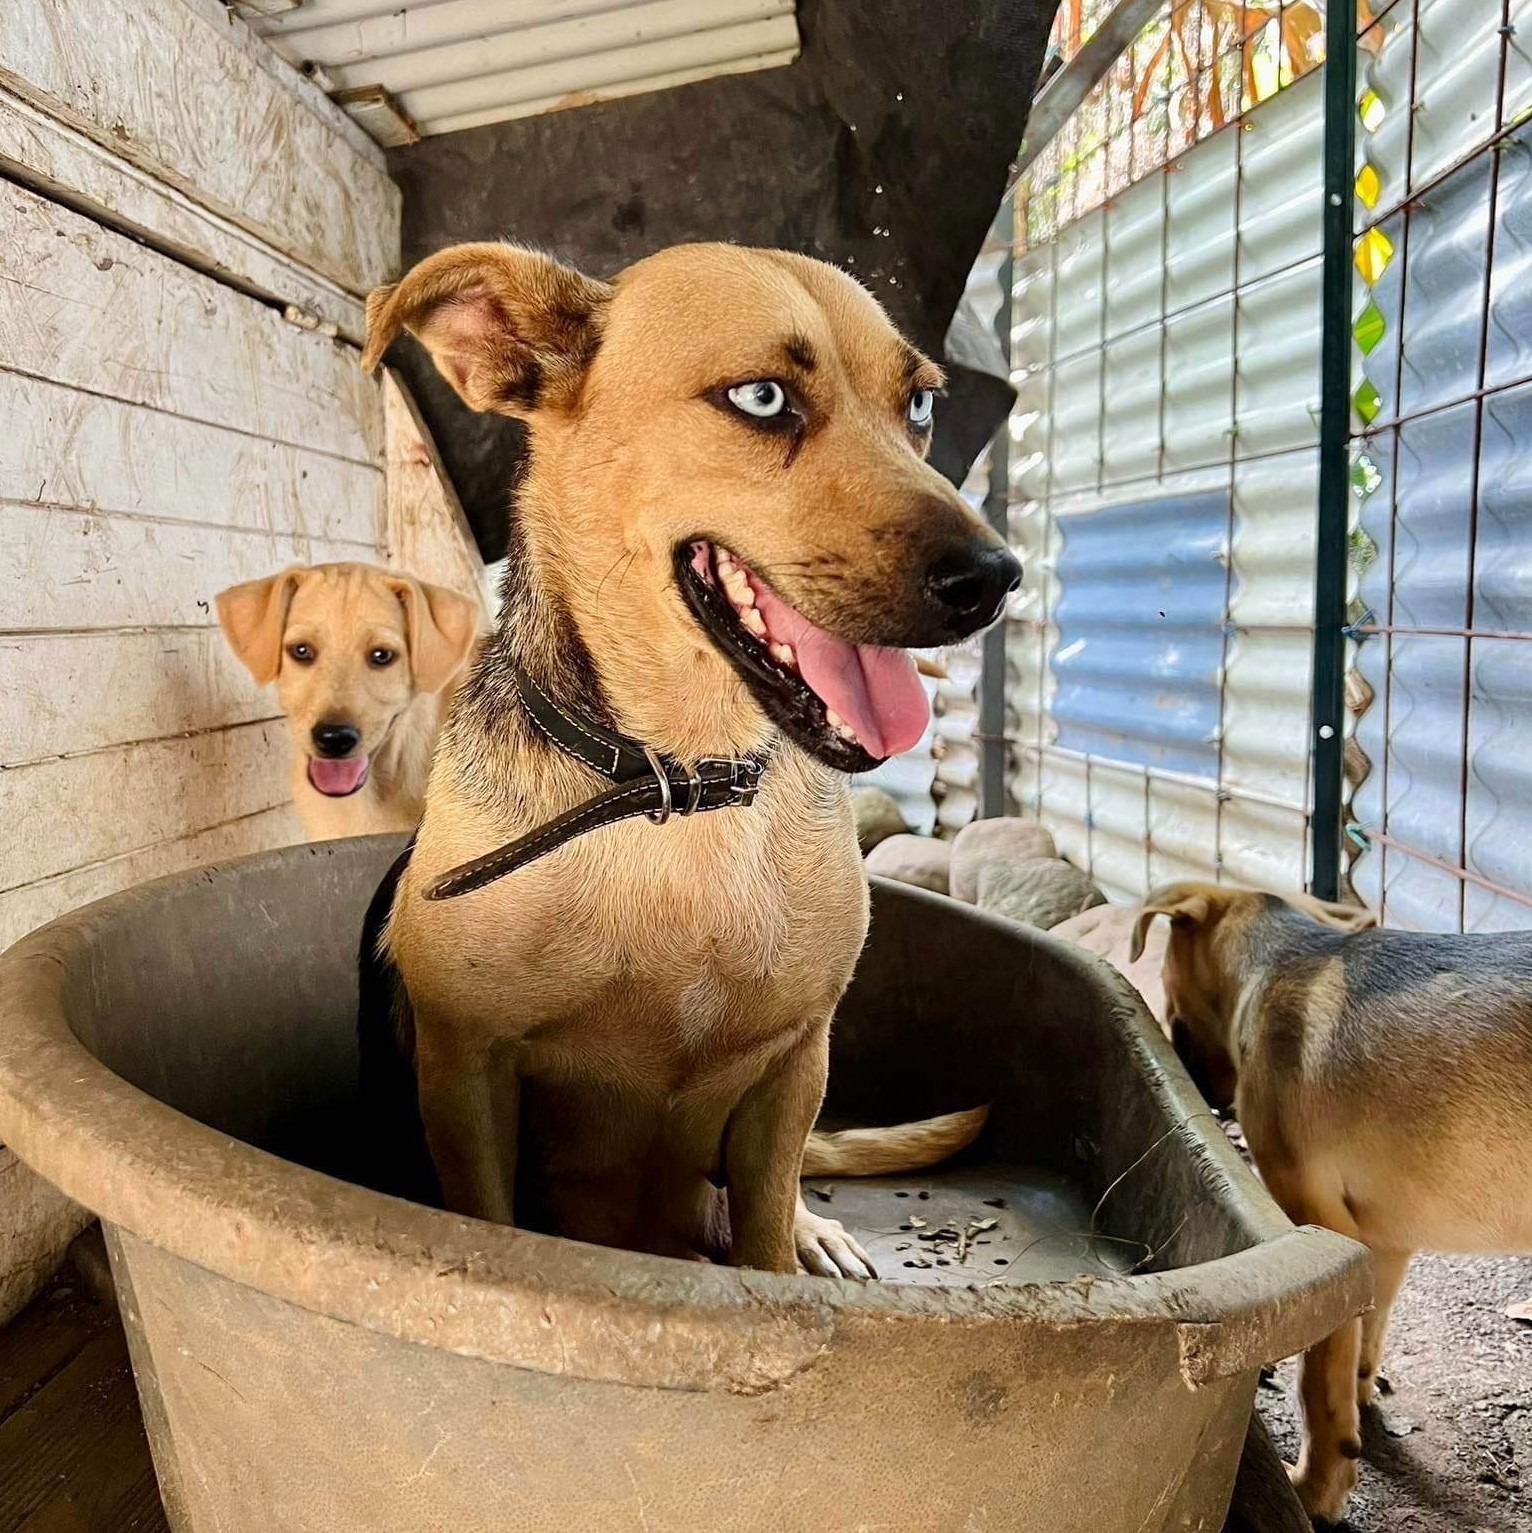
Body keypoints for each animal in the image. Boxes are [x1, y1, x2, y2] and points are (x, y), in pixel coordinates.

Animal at [357, 242, 1018, 1281]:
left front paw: (794, 1243)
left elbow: (768, 1233)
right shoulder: (464, 1067)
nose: (994, 578)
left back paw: (817, 1229)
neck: (687, 781)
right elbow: (488, 1218)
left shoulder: (797, 1061)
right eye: (761, 398)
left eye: (919, 406)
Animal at [1128, 883, 1532, 1526]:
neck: (1283, 959)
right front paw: (1364, 1403)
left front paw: (1316, 1489)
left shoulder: (1321, 1230)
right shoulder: (1381, 1241)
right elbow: (1364, 1339)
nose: (1203, 1093)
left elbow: (1318, 1385)